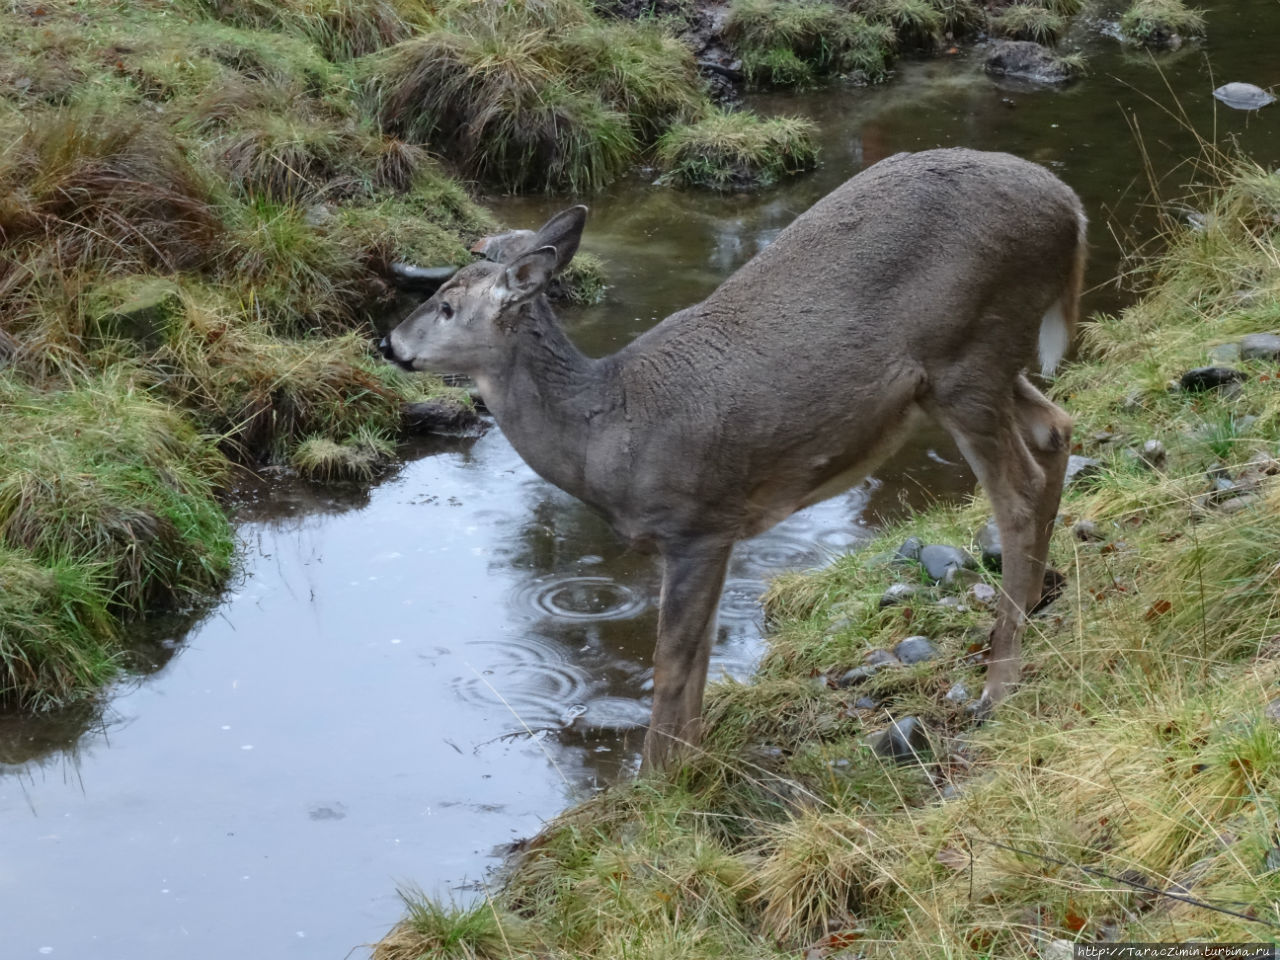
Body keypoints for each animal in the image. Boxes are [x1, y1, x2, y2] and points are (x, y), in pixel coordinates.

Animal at [373, 150, 1085, 773]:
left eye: (446, 306)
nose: (388, 343)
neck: (608, 431)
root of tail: (1070, 208)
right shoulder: (717, 531)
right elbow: (698, 664)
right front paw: (688, 768)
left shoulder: (696, 521)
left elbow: (672, 667)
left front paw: (654, 787)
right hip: (972, 373)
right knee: (1057, 429)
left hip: (969, 354)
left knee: (1019, 489)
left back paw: (998, 684)